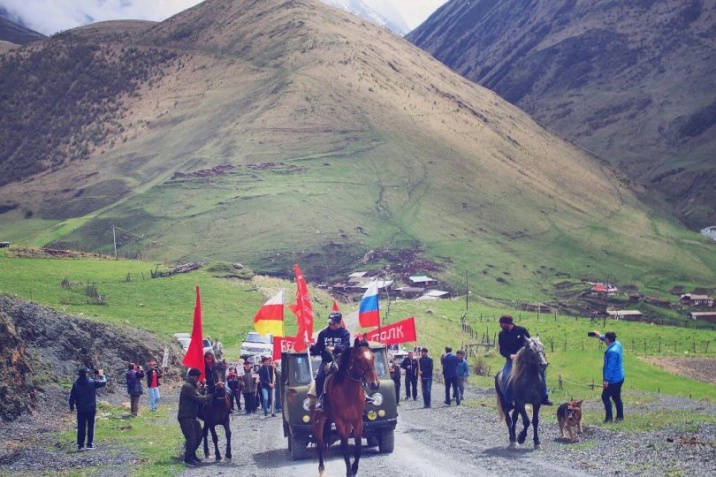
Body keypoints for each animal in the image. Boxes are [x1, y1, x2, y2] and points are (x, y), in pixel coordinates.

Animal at [312, 336, 380, 474]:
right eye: (359, 359)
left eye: (373, 356)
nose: (374, 384)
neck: (349, 392)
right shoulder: (339, 422)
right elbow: (345, 450)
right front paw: (349, 471)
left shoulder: (357, 421)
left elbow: (358, 449)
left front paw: (353, 469)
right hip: (319, 420)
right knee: (320, 444)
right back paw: (321, 470)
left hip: (348, 424)